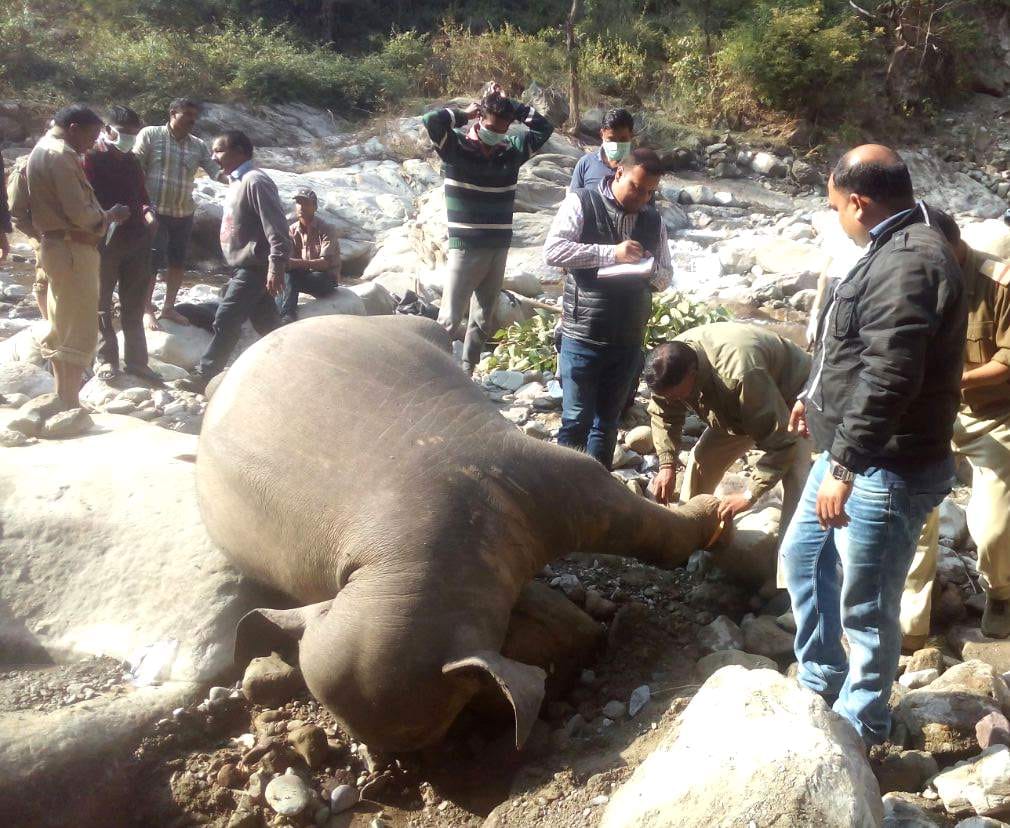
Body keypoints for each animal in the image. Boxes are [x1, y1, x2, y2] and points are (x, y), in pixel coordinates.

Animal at [197, 314, 725, 753]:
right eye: (460, 712)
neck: (406, 569)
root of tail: (229, 374)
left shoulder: (553, 478)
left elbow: (650, 529)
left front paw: (712, 510)